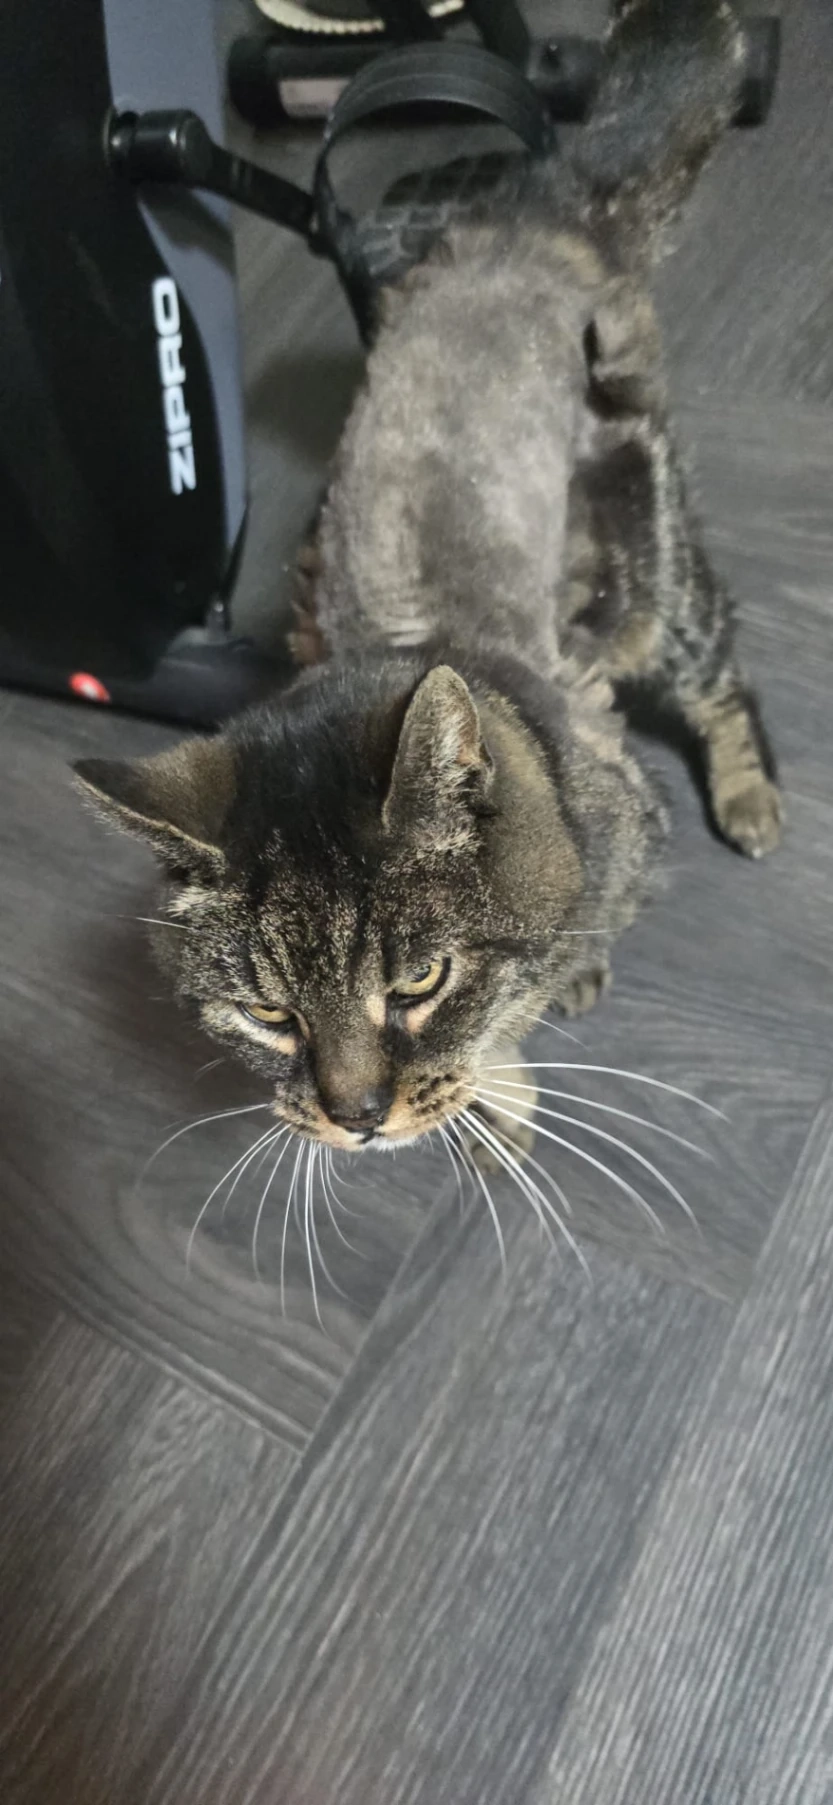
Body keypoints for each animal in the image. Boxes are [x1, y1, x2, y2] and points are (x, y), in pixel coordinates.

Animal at [75, 0, 781, 1168]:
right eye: (269, 1013)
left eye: (418, 981)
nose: (354, 1116)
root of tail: (529, 208)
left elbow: (522, 993)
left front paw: (522, 1033)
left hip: (649, 566)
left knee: (720, 671)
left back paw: (749, 794)